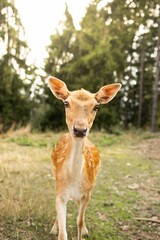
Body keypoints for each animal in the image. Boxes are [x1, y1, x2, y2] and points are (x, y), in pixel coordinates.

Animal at [47, 76, 121, 239]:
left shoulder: (87, 193)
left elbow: (79, 222)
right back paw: (53, 228)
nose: (80, 130)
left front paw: (83, 231)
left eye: (96, 107)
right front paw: (56, 230)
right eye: (66, 103)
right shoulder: (60, 191)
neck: (74, 180)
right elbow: (62, 233)